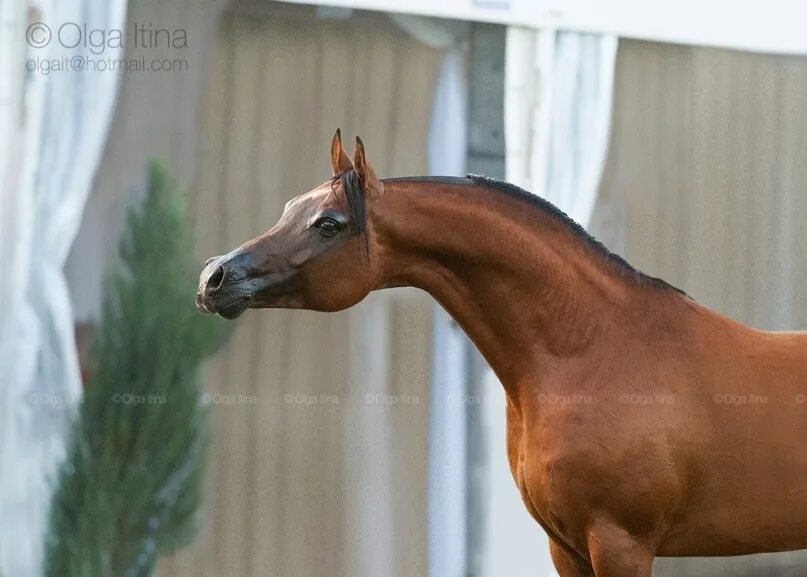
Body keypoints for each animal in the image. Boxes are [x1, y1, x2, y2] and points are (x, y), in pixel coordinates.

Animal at [196, 130, 807, 576]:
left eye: (329, 224)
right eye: (289, 207)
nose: (213, 278)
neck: (595, 352)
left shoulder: (621, 544)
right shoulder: (568, 548)